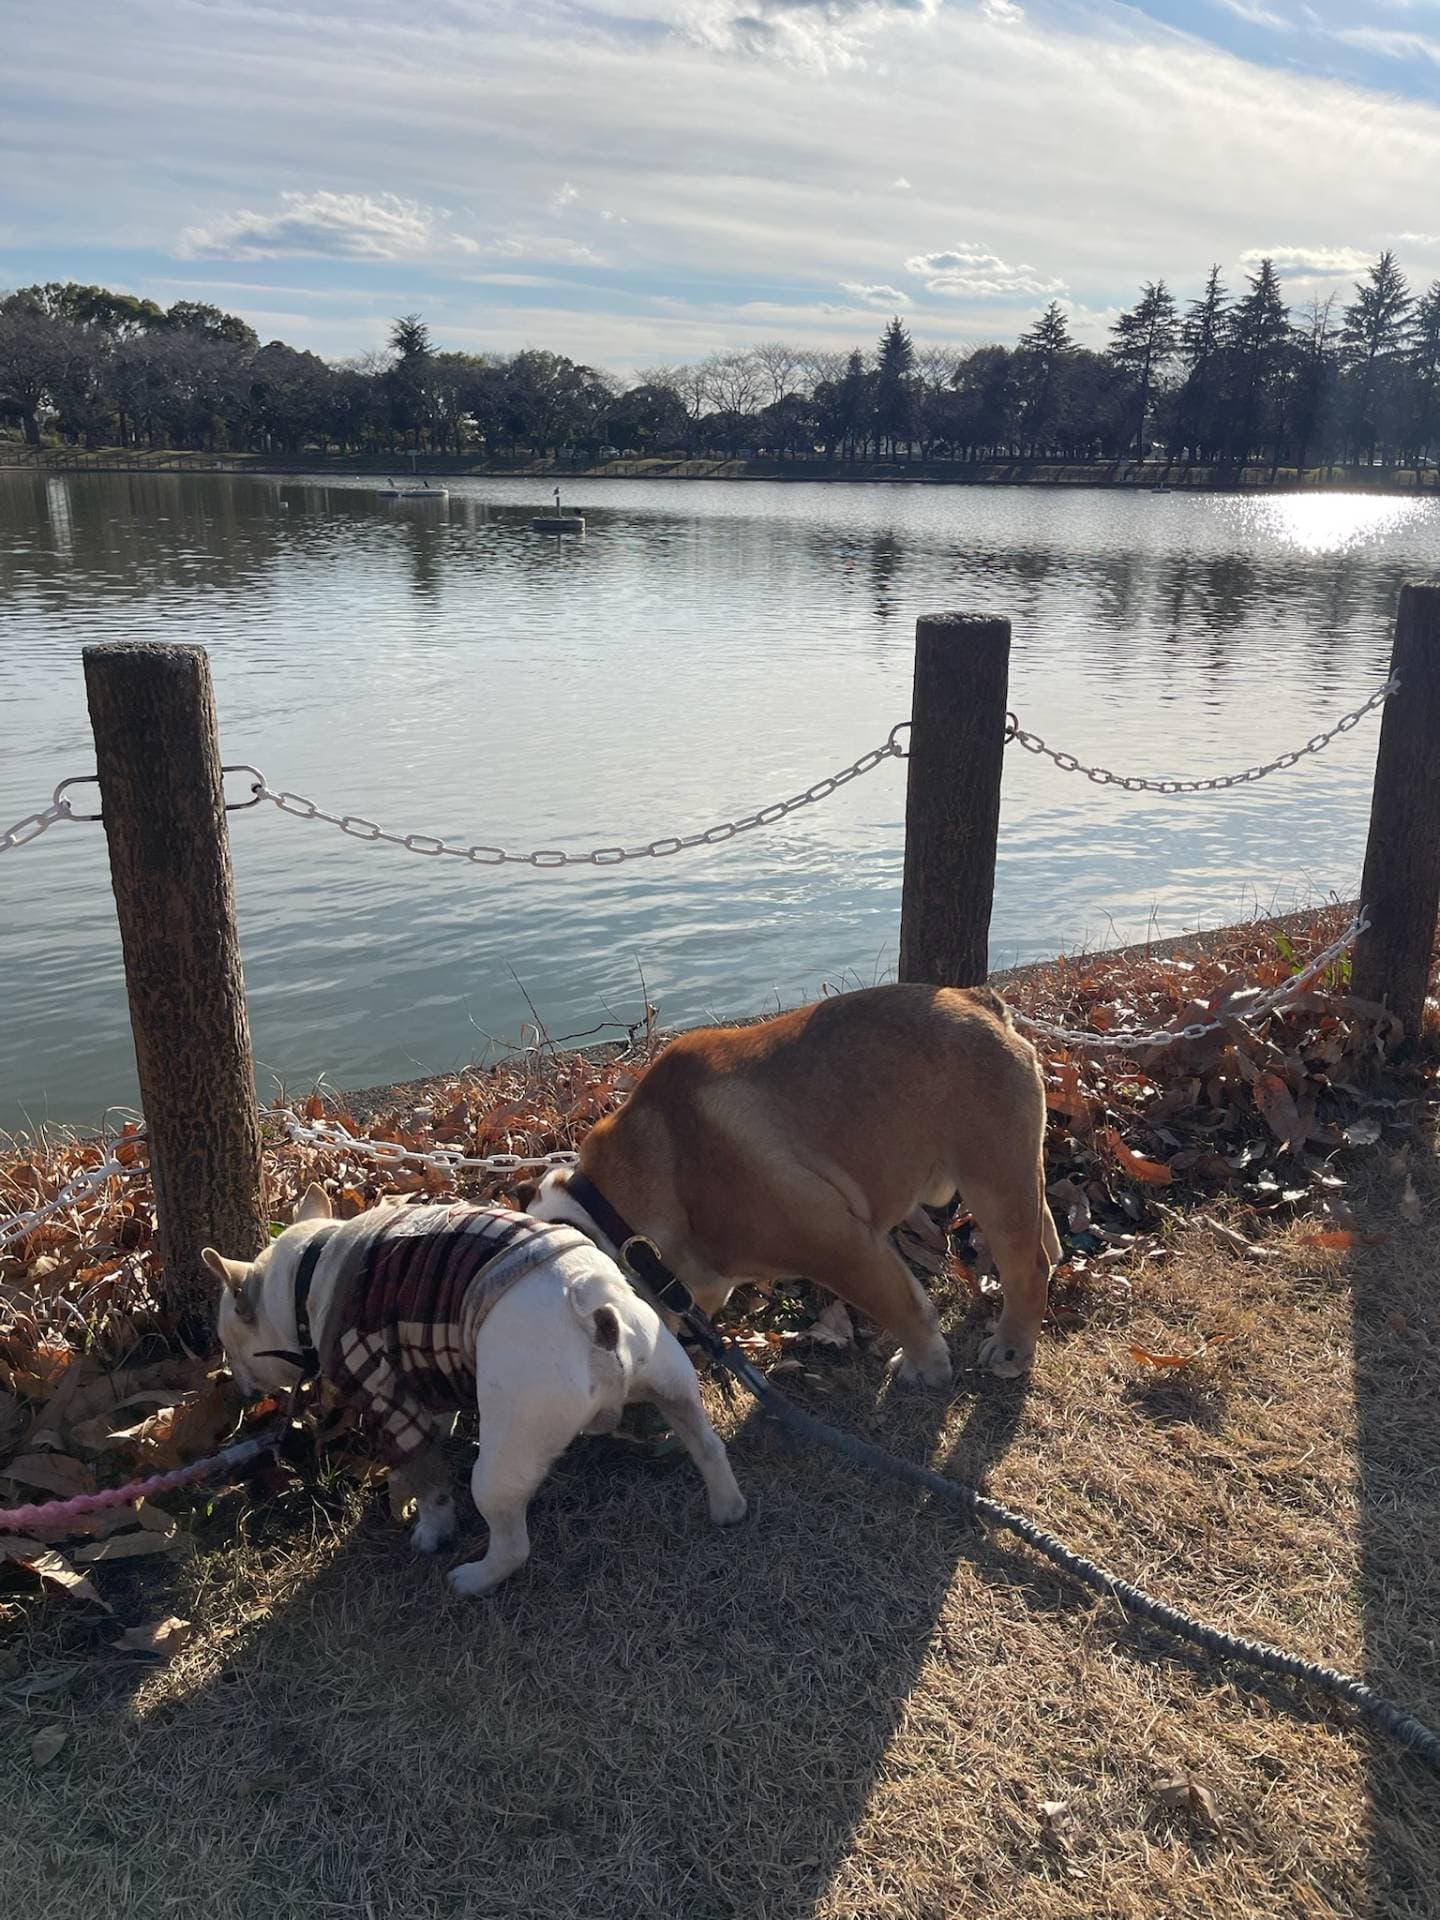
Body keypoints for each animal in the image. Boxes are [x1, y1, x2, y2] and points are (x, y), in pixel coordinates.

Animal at [205, 1185, 746, 1595]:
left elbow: (425, 1477)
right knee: (707, 1445)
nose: (236, 1387)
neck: (308, 1275)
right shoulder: (425, 1379)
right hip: (673, 1380)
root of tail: (591, 1309)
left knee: (512, 1543)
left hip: (502, 1462)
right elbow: (429, 1441)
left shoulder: (384, 1394)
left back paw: (474, 1579)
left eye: (226, 1340)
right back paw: (727, 1507)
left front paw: (426, 1527)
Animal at [529, 983, 1060, 1383]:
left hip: (991, 1179)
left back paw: (1011, 1347)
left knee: (1026, 1268)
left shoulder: (844, 1251)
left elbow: (907, 1312)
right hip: (1013, 1168)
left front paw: (925, 1367)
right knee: (1043, 1233)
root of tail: (979, 1001)